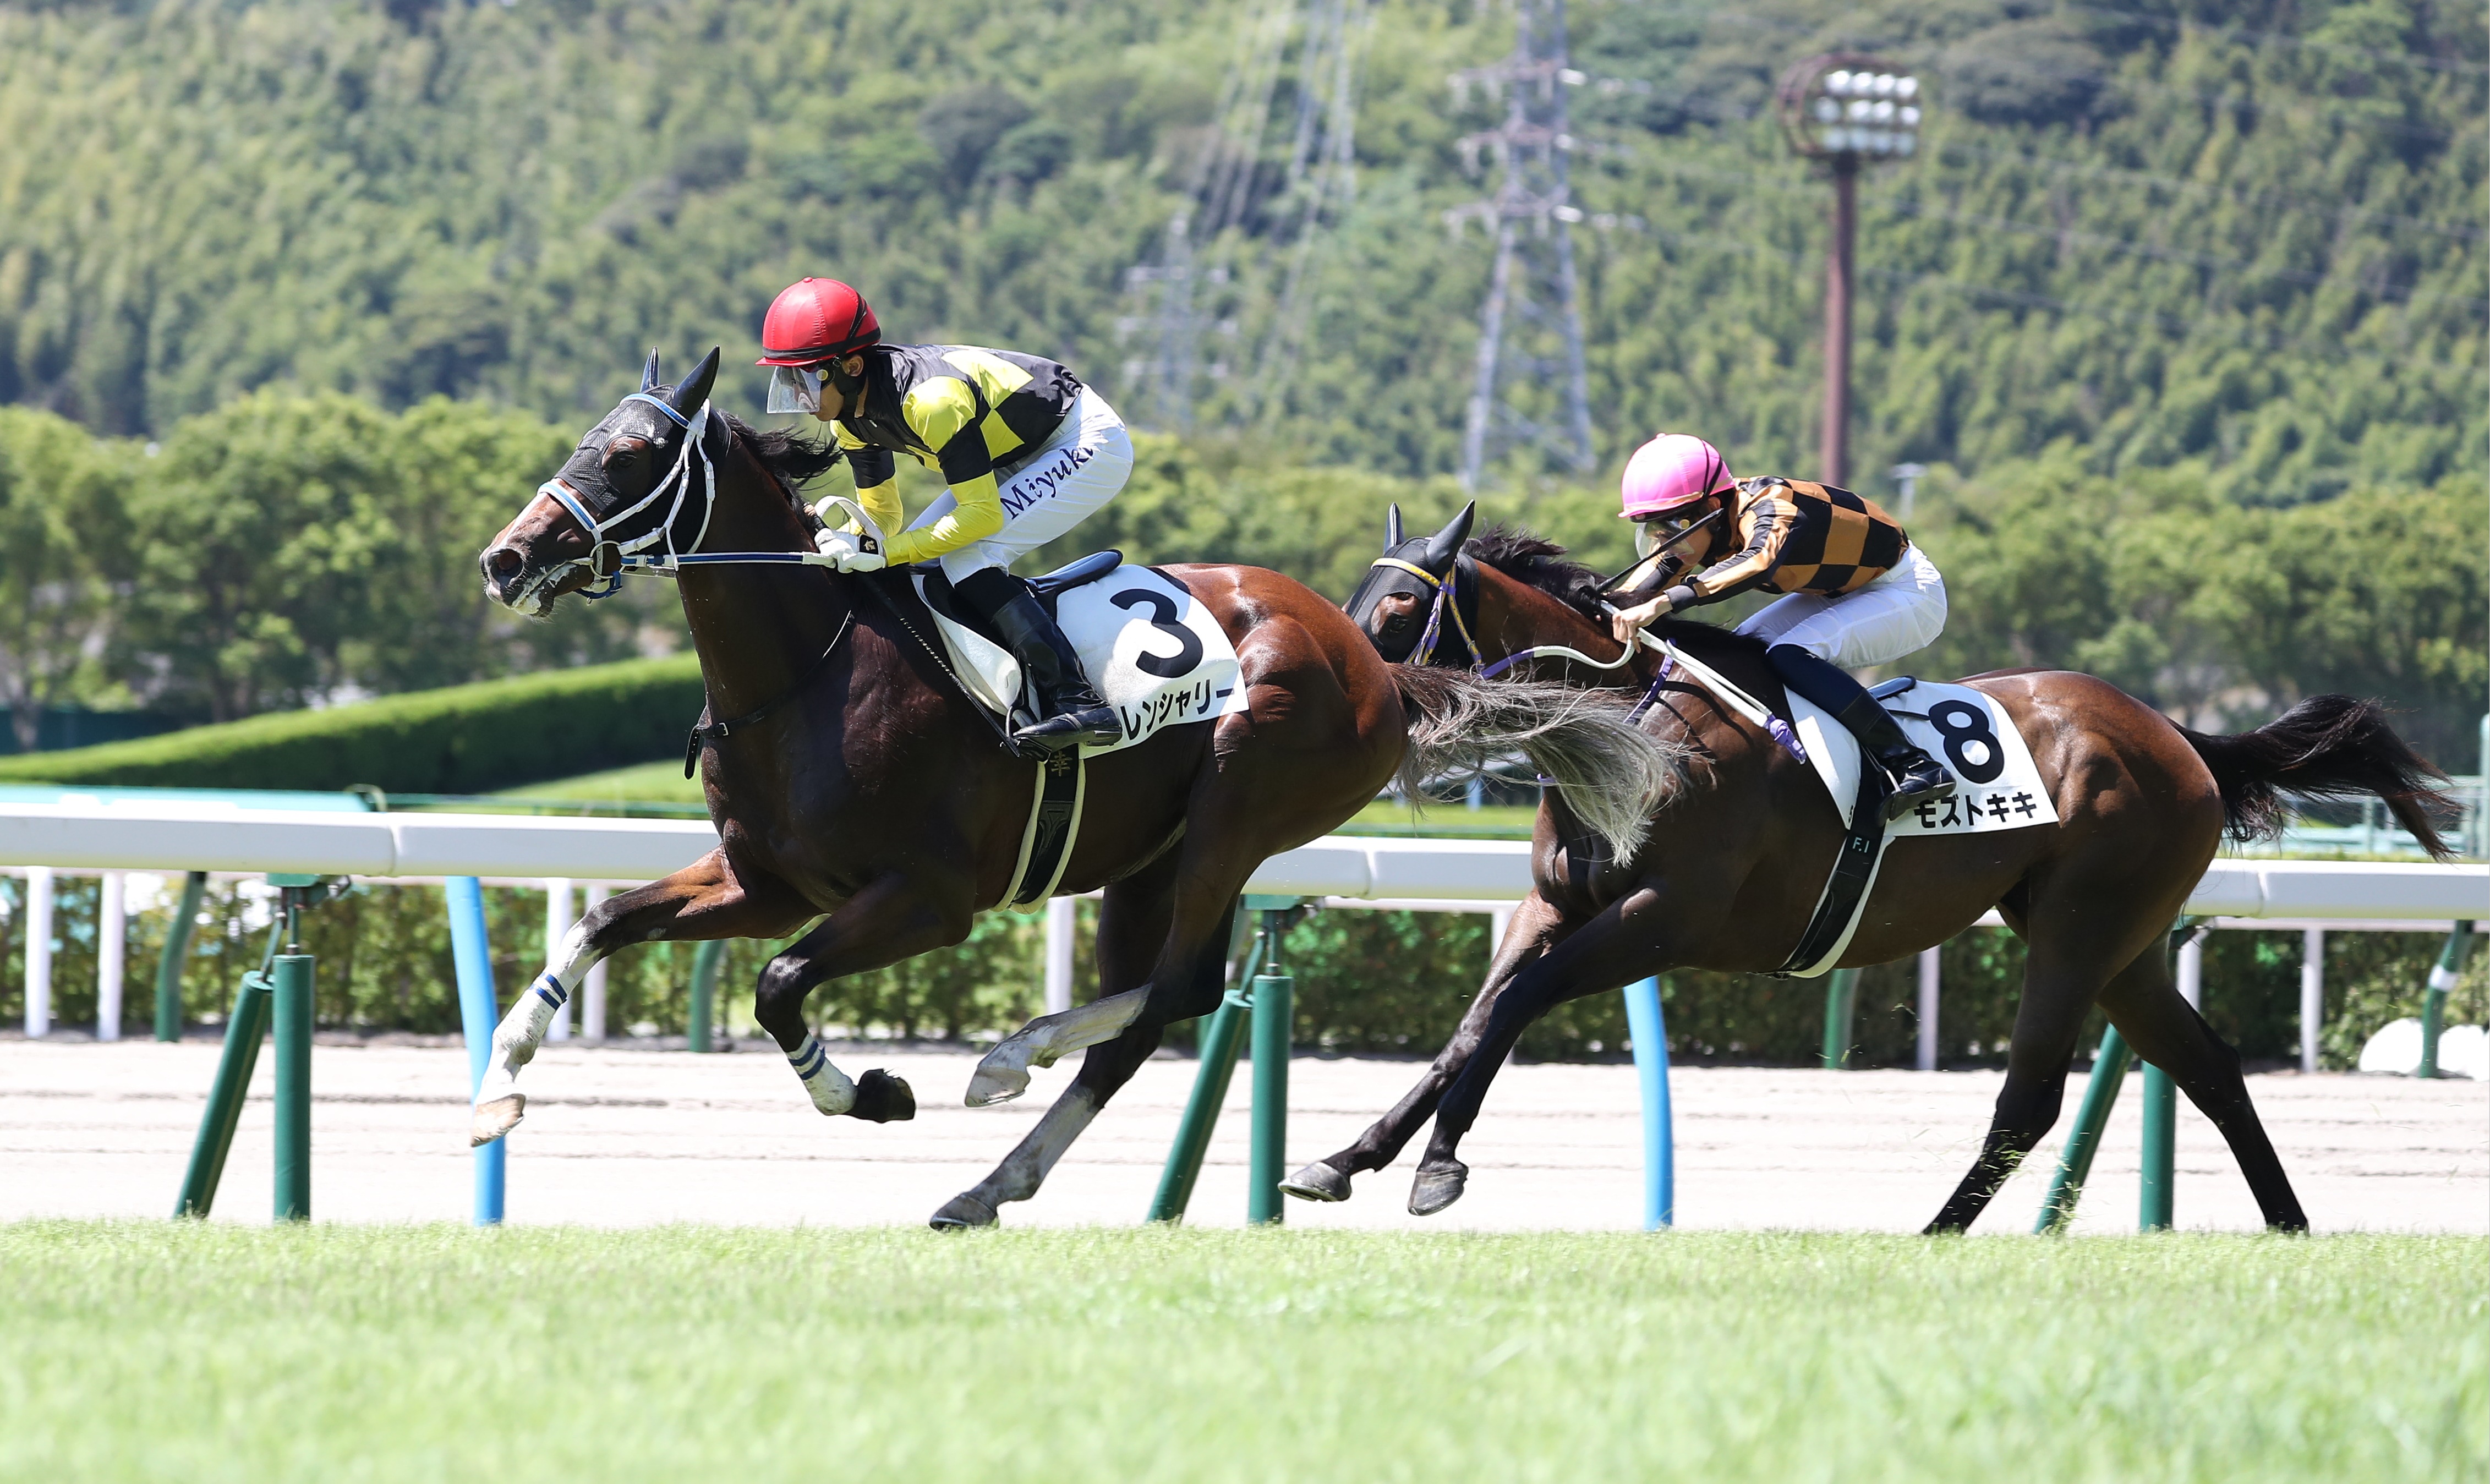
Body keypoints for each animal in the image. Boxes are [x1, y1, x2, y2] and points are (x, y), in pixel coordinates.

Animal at [468, 351, 1673, 1230]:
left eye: (636, 453)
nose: (507, 559)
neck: (808, 673)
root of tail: (1370, 658)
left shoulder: (926, 900)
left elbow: (778, 985)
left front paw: (873, 1093)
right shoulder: (768, 883)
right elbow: (605, 922)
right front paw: (497, 1090)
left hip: (1239, 809)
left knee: (1179, 983)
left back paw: (1009, 1061)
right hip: (1148, 862)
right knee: (1155, 1011)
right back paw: (989, 1180)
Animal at [1295, 510, 2460, 1230]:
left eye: (1398, 611)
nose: (1341, 691)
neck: (1628, 729)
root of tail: (2180, 735)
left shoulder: (1664, 917)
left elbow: (1514, 1007)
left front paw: (1438, 1169)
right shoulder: (1553, 904)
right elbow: (1472, 1023)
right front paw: (1345, 1161)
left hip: (2083, 927)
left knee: (2032, 1096)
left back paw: (1937, 1230)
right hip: (2115, 943)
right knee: (2211, 1066)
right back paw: (2289, 1223)